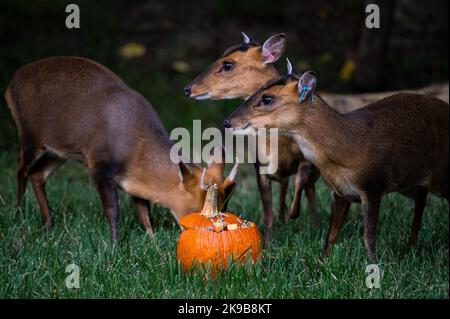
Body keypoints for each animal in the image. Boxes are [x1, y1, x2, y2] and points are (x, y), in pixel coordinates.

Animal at [5, 56, 237, 241]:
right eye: (198, 210)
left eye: (225, 207)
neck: (135, 146)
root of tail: (10, 86)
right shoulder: (99, 165)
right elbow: (112, 209)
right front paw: (114, 244)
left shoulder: (134, 180)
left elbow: (143, 209)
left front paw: (151, 238)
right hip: (30, 135)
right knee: (20, 167)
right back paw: (19, 210)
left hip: (59, 151)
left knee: (37, 174)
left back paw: (48, 223)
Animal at [185, 32, 322, 242]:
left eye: (228, 64)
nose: (188, 88)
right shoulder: (260, 166)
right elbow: (267, 211)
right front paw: (269, 240)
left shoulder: (307, 159)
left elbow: (301, 182)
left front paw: (297, 216)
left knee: (309, 192)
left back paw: (313, 227)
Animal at [225, 65, 450, 262]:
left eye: (267, 98)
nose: (227, 121)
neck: (347, 148)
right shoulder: (340, 192)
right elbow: (330, 236)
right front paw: (319, 264)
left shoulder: (372, 185)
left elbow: (368, 237)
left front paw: (375, 265)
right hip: (408, 182)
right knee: (421, 198)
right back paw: (410, 245)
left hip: (438, 176)